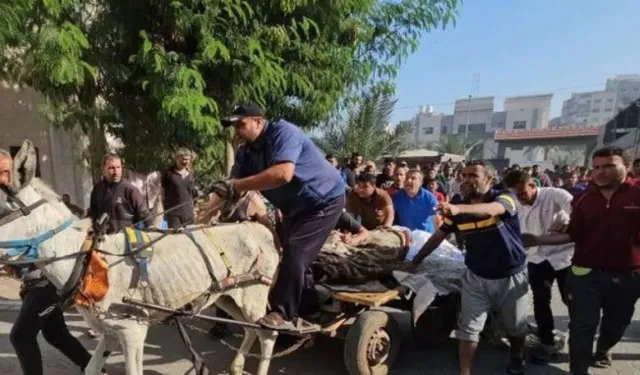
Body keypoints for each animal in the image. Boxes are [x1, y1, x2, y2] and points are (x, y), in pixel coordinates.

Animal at [0, 141, 280, 375]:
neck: (88, 260)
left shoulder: (132, 331)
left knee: (267, 334)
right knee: (250, 328)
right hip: (228, 296)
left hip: (254, 294)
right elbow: (91, 369)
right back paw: (237, 366)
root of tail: (260, 228)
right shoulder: (109, 331)